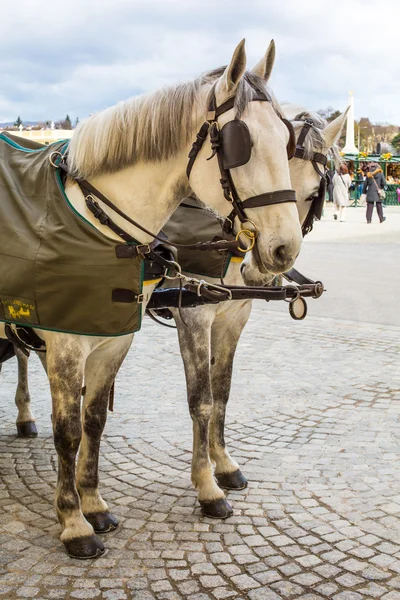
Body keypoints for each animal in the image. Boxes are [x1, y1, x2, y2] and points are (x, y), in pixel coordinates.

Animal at [0, 41, 300, 556]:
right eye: (240, 145)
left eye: (287, 141)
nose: (285, 248)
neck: (99, 225)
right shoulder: (70, 341)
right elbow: (69, 431)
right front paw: (73, 521)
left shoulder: (113, 338)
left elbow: (93, 420)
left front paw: (93, 503)